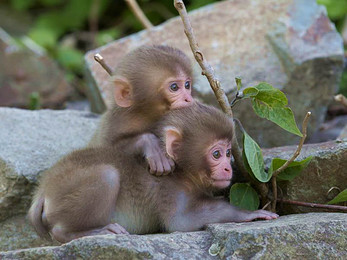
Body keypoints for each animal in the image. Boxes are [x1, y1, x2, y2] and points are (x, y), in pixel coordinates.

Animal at [29, 102, 280, 243]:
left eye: (229, 152)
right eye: (217, 154)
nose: (228, 167)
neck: (182, 173)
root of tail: (44, 189)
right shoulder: (170, 191)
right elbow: (180, 222)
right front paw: (247, 213)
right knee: (107, 176)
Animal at [89, 44, 194, 176]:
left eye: (187, 85)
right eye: (174, 87)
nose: (188, 98)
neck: (146, 115)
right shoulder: (116, 123)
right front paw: (152, 145)